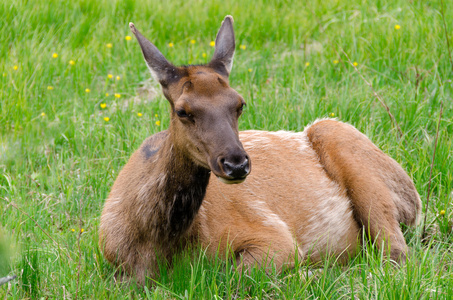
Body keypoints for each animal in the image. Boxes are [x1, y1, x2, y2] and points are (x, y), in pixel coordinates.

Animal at [99, 15, 420, 284]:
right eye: (182, 111)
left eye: (239, 104)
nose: (236, 164)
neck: (154, 248)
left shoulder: (272, 234)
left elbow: (234, 276)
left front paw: (309, 273)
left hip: (348, 151)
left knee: (396, 254)